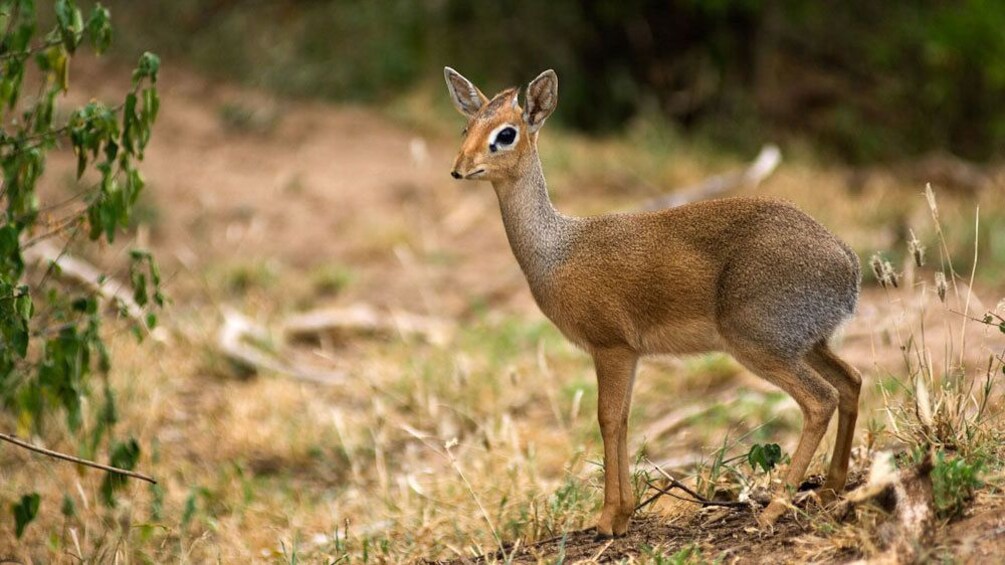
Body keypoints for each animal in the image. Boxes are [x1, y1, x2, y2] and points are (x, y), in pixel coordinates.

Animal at [444, 68, 860, 534]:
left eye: (506, 133)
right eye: (467, 127)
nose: (459, 169)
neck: (556, 250)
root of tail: (848, 262)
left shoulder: (611, 347)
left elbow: (608, 419)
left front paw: (608, 519)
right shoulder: (630, 354)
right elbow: (624, 420)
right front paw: (623, 513)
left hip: (760, 345)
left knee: (820, 400)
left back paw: (773, 509)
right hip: (809, 344)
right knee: (852, 382)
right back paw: (828, 490)